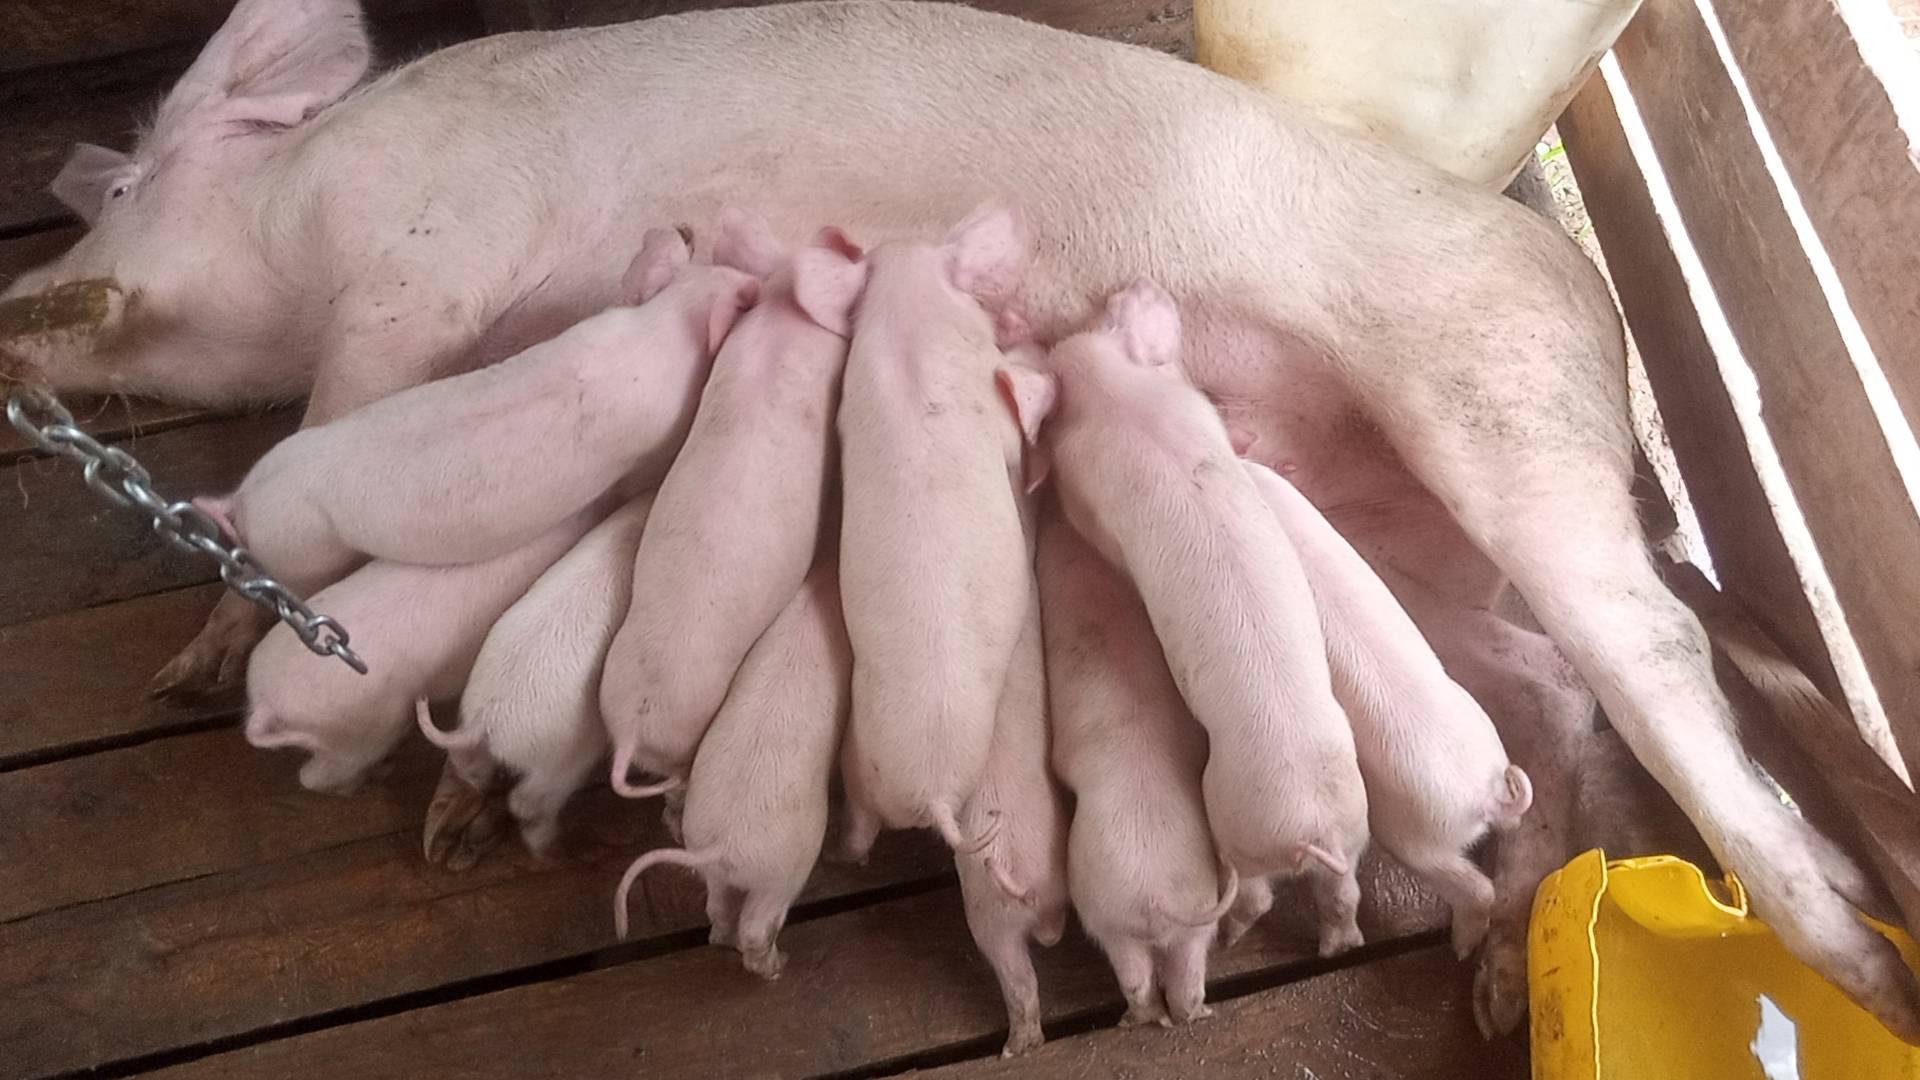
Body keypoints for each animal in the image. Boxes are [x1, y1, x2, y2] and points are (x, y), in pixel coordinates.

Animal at [196, 228, 756, 595]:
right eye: (744, 294)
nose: (687, 229)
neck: (663, 327)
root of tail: (242, 500)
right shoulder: (653, 438)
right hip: (302, 554)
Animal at [414, 489, 657, 863]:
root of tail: (483, 721)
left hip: (479, 749)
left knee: (472, 774)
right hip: (559, 758)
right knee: (527, 803)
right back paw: (557, 855)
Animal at [612, 559, 851, 978]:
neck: (820, 590)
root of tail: (723, 846)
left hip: (715, 863)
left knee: (717, 908)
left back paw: (723, 941)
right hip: (782, 872)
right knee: (757, 927)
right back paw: (777, 967)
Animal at [1001, 280, 1370, 956]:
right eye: (1113, 316)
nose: (1141, 285)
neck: (1119, 398)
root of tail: (1315, 831)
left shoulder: (1091, 495)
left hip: (1236, 821)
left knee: (1256, 895)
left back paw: (1228, 940)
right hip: (1351, 828)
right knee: (1341, 898)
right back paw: (1341, 945)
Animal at [1037, 506, 1238, 1028]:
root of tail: (1155, 895)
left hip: (1108, 917)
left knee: (1137, 981)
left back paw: (1141, 1019)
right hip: (1180, 916)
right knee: (1182, 981)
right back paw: (1194, 1014)